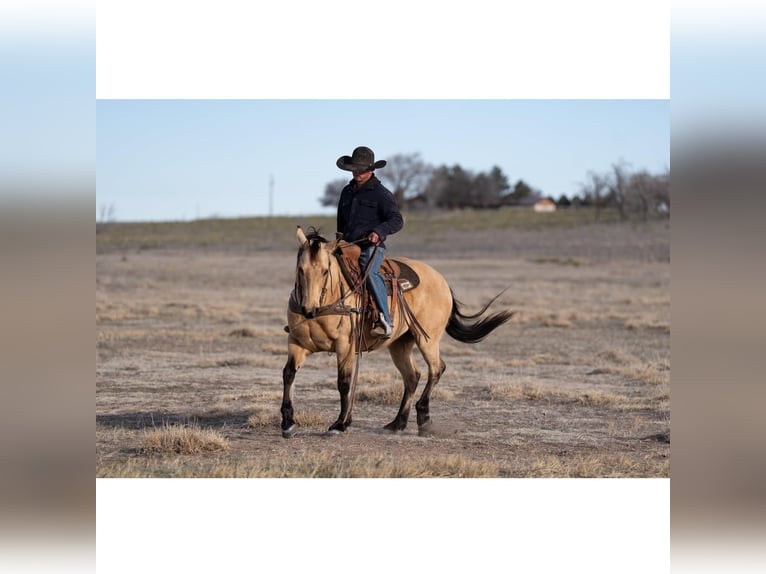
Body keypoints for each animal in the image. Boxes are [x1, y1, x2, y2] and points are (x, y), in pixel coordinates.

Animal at [280, 227, 512, 438]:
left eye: (325, 271)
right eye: (301, 269)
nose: (308, 310)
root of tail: (441, 280)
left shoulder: (345, 346)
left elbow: (344, 383)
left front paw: (340, 424)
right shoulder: (296, 342)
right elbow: (288, 373)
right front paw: (288, 422)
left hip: (427, 340)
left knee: (436, 369)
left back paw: (424, 418)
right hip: (400, 344)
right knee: (412, 376)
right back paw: (398, 423)